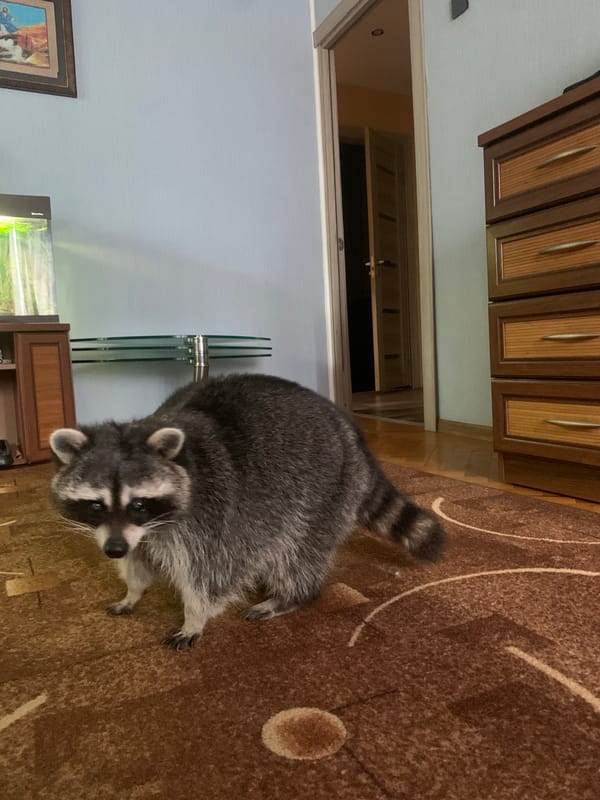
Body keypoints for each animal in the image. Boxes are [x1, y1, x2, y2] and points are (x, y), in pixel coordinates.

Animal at [49, 373, 445, 650]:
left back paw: (290, 595)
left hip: (324, 489)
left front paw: (194, 616)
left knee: (298, 551)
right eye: (96, 504)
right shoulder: (137, 535)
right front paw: (132, 591)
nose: (113, 550)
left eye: (139, 503)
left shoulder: (213, 513)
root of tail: (349, 430)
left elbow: (210, 573)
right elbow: (139, 560)